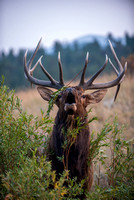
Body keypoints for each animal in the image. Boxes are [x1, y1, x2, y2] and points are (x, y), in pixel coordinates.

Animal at [23, 38, 126, 196]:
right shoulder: (49, 184)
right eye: (59, 95)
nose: (70, 91)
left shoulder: (85, 188)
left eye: (83, 95)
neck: (71, 167)